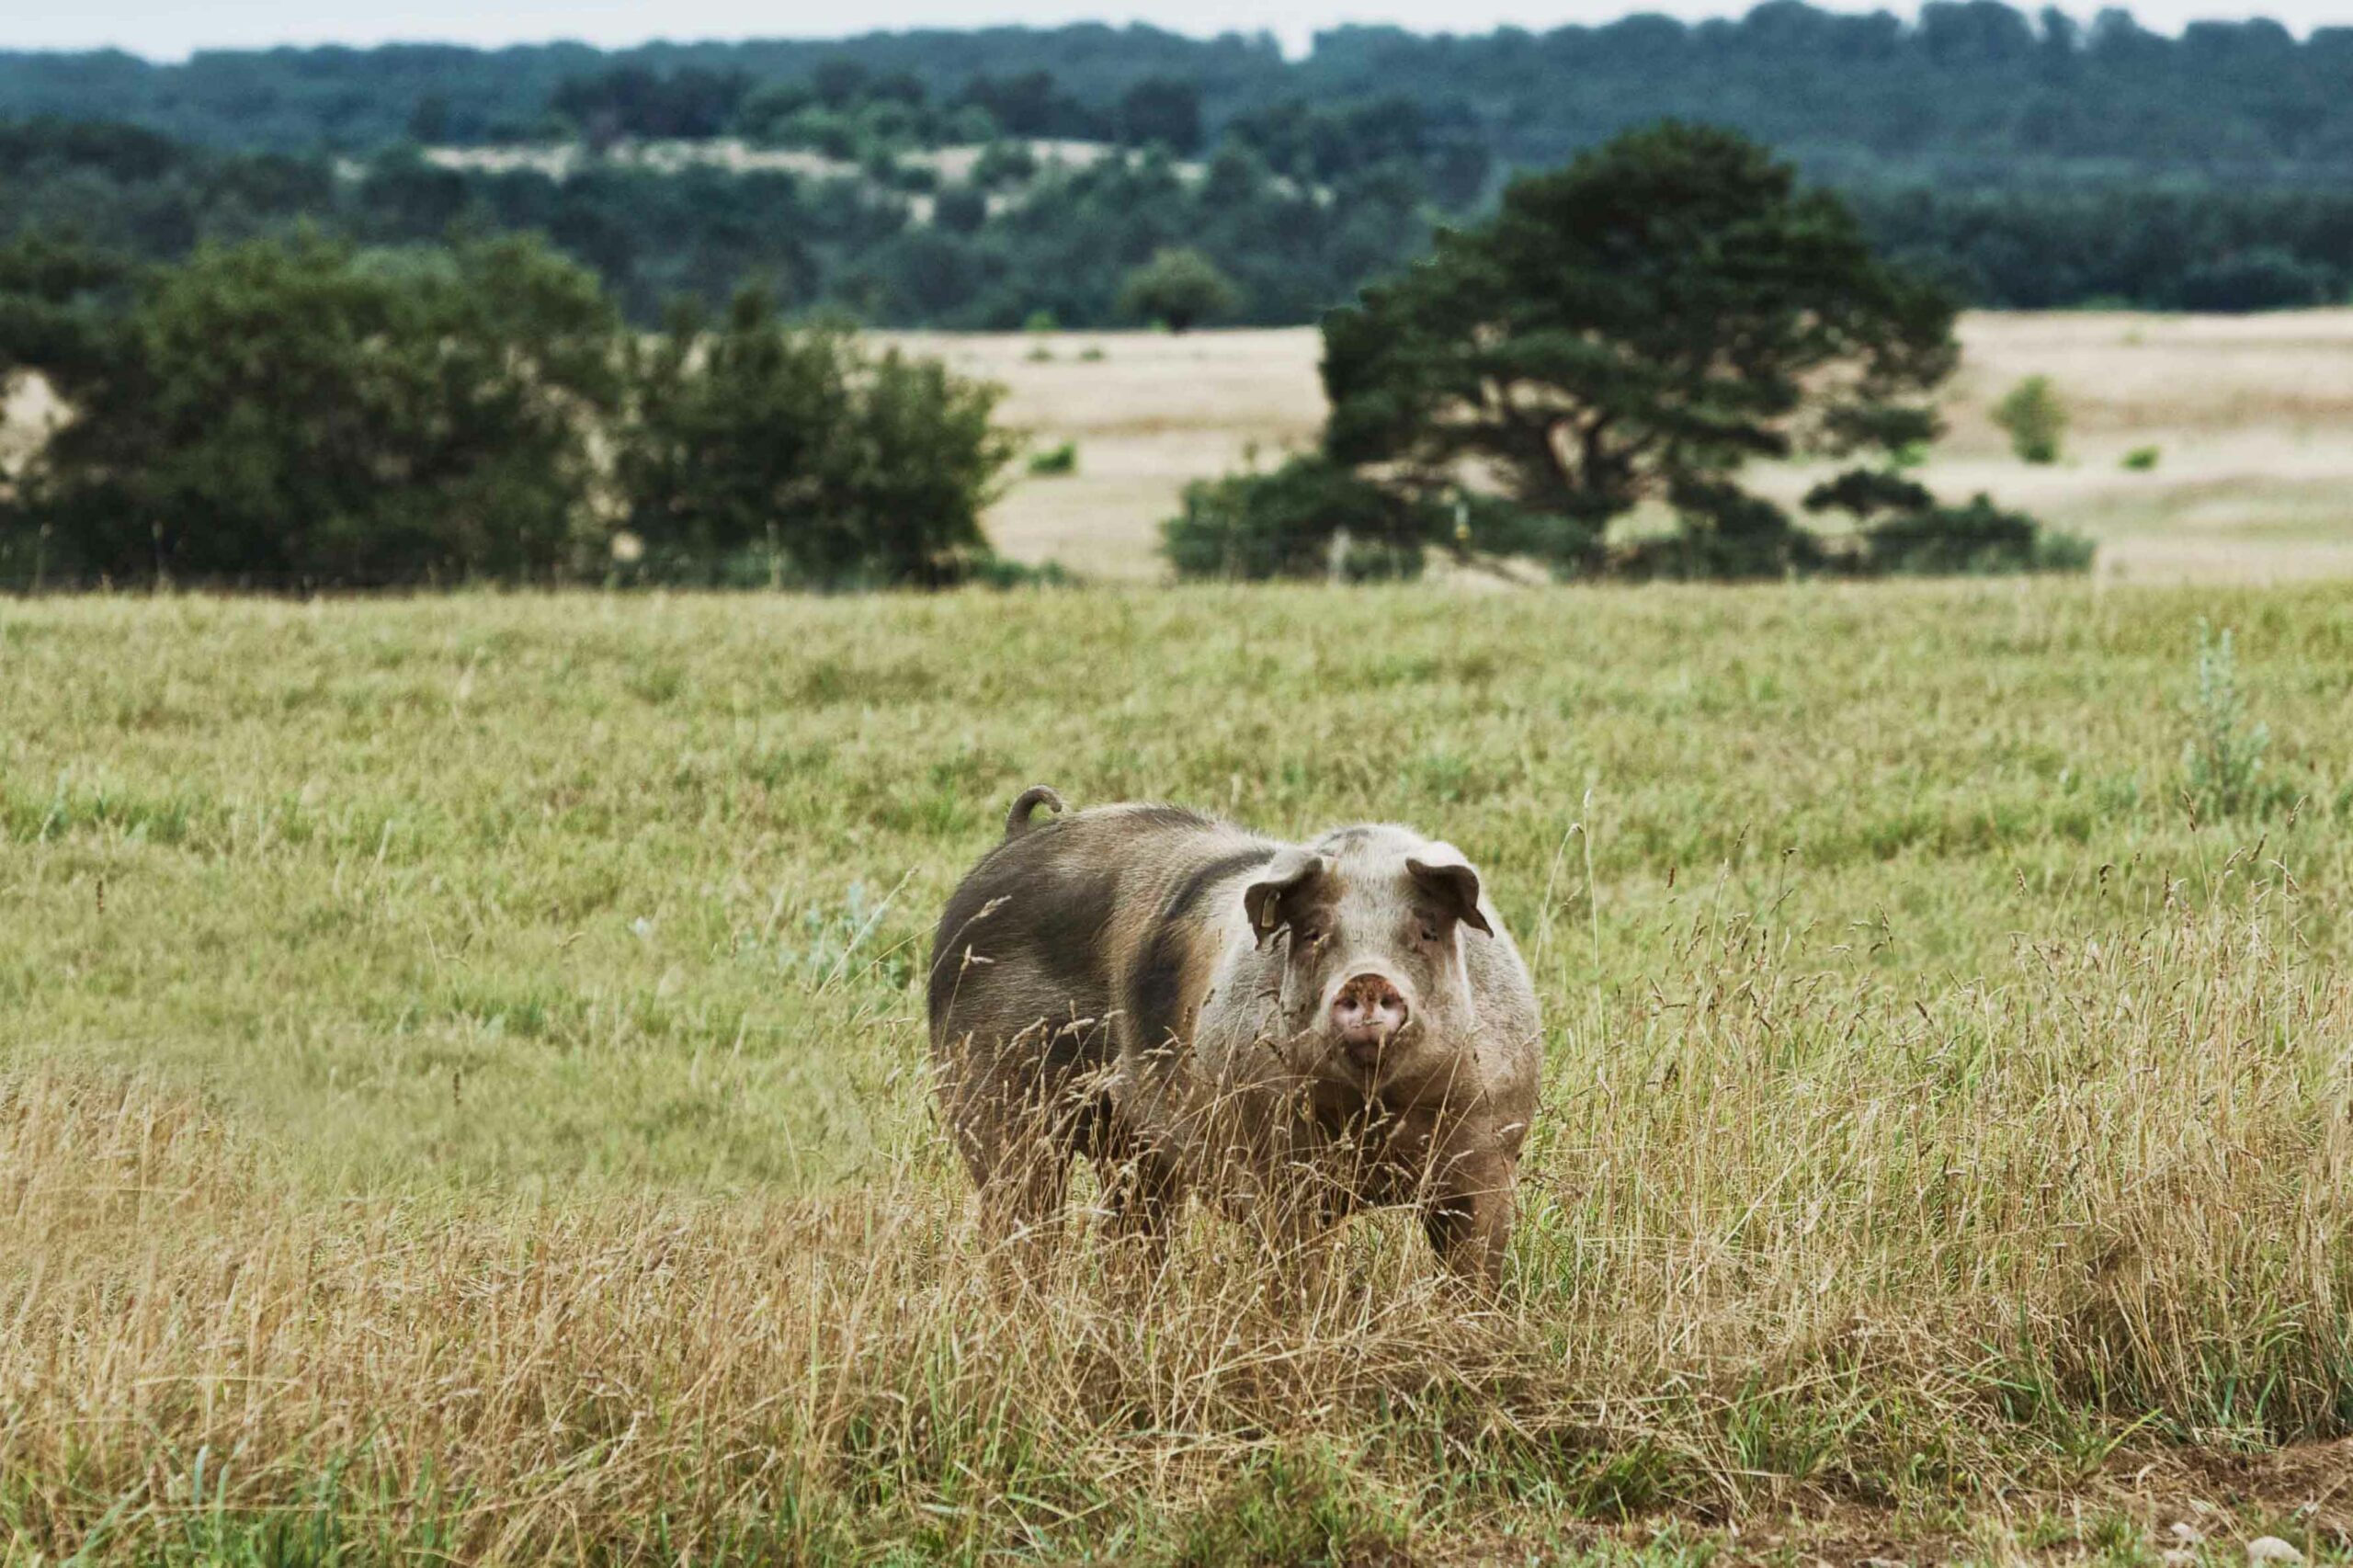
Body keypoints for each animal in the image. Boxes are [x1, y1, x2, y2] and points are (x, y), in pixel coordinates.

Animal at [926, 781, 1552, 1280]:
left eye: (1425, 931)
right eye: (1314, 932)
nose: (1368, 978)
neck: (1374, 1110)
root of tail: (1020, 840)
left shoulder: (1491, 1154)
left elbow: (1475, 1270)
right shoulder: (1271, 1168)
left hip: (1135, 1150)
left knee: (1131, 1229)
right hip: (990, 1095)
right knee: (1019, 1214)